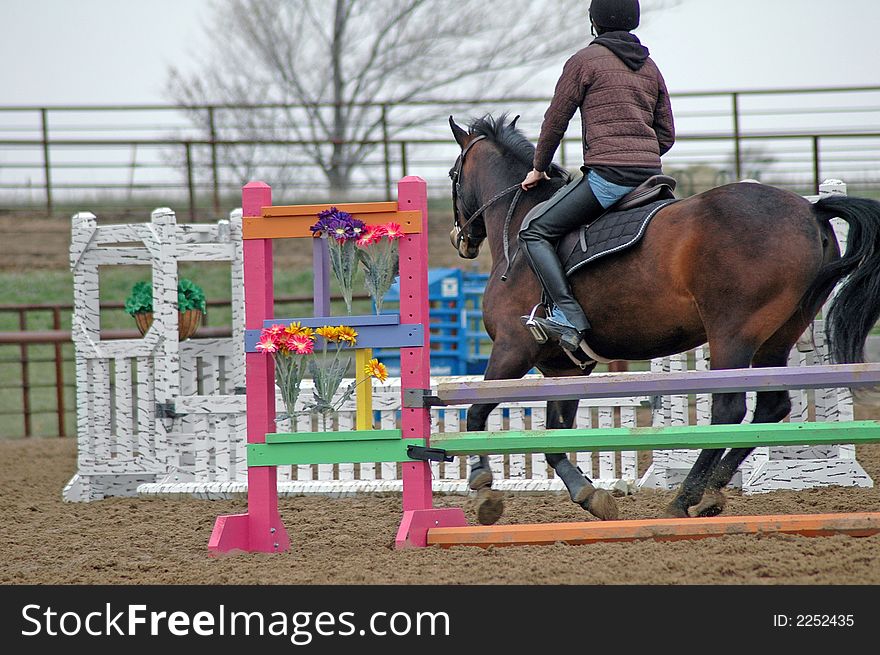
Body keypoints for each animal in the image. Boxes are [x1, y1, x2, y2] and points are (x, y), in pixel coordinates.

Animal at [446, 111, 880, 524]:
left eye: (452, 175)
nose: (460, 241)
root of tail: (810, 208)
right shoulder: (563, 367)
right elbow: (554, 438)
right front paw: (589, 494)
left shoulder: (513, 348)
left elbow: (475, 414)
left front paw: (483, 488)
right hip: (777, 336)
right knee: (771, 407)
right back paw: (710, 491)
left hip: (733, 333)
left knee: (729, 410)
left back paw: (685, 497)